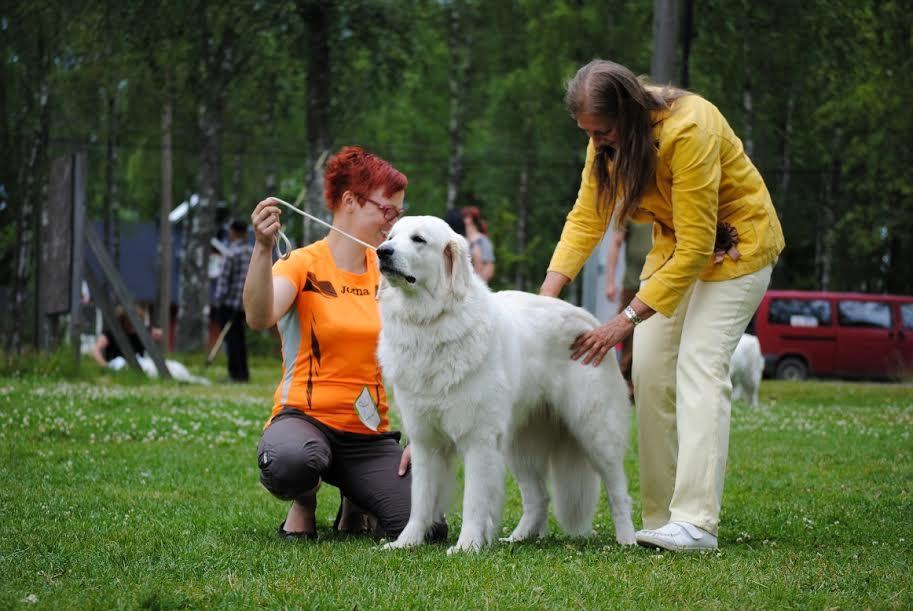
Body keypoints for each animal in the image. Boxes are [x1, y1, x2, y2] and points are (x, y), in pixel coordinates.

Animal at [370, 216, 636, 556]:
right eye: (391, 236)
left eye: (418, 239)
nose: (382, 252)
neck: (430, 323)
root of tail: (590, 322)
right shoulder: (425, 440)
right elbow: (420, 500)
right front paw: (407, 542)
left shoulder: (479, 439)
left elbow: (473, 501)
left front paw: (467, 546)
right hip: (517, 445)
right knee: (538, 498)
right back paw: (518, 538)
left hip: (595, 433)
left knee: (617, 493)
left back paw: (627, 540)